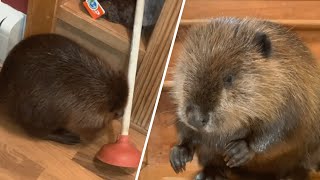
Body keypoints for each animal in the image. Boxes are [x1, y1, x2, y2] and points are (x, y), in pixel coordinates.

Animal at [170, 16, 320, 179]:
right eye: (188, 71)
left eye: (229, 78)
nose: (195, 118)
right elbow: (184, 127)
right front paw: (179, 154)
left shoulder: (294, 91)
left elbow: (283, 127)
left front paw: (238, 150)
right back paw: (208, 175)